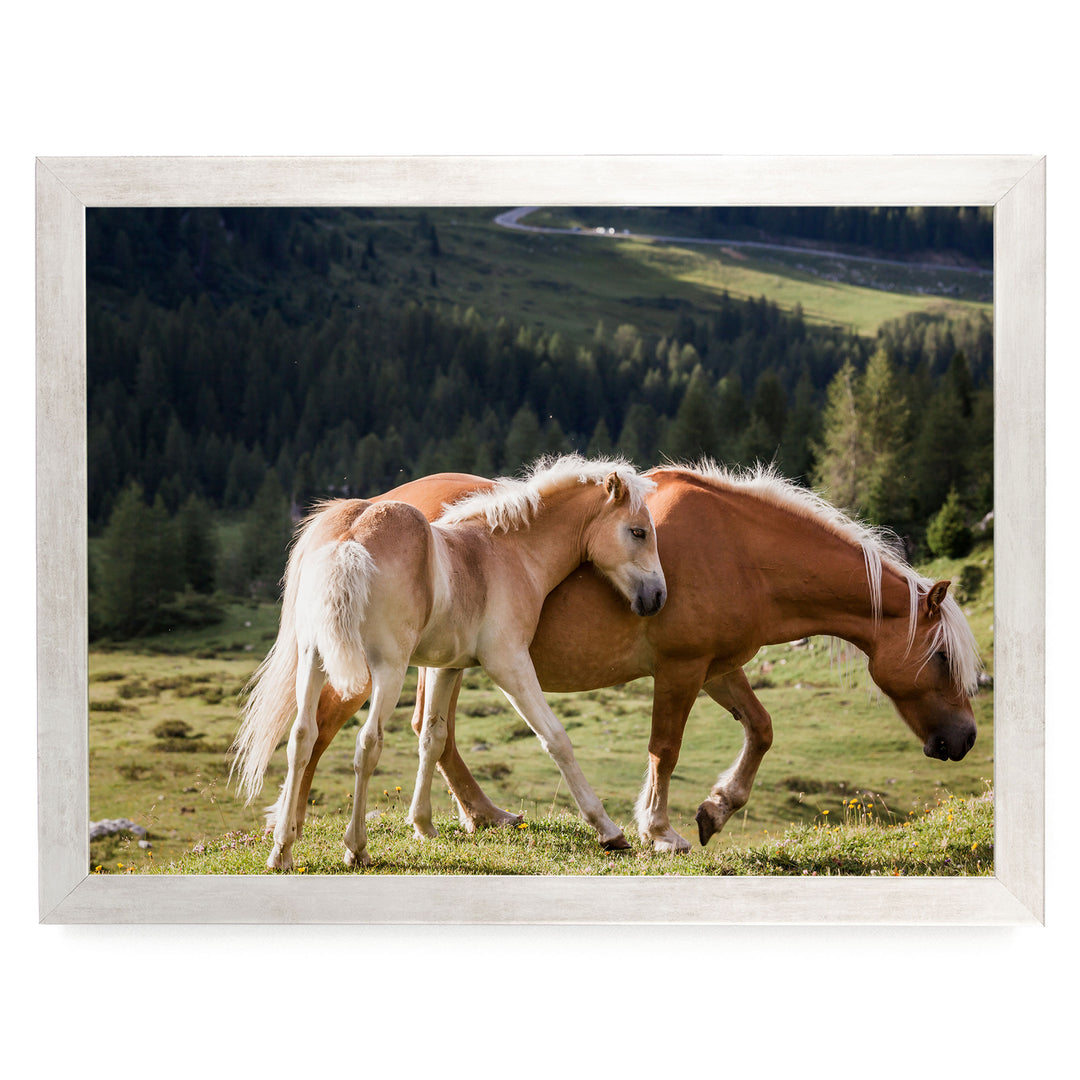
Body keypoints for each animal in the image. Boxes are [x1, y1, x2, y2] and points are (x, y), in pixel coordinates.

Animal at [230, 454, 667, 869]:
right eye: (638, 531)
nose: (657, 597)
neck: (507, 552)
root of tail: (349, 538)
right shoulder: (509, 663)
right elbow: (556, 738)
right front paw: (608, 830)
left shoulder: (445, 666)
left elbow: (432, 737)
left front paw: (422, 824)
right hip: (387, 669)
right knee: (366, 744)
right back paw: (357, 848)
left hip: (313, 659)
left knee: (302, 737)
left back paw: (282, 850)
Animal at [276, 461, 982, 854]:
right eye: (941, 660)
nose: (965, 740)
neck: (741, 550)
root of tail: (359, 515)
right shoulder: (681, 669)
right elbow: (664, 749)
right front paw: (658, 829)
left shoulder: (718, 667)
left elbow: (760, 728)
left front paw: (716, 808)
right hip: (375, 664)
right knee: (328, 729)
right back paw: (293, 826)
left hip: (436, 659)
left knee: (432, 735)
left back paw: (481, 817)